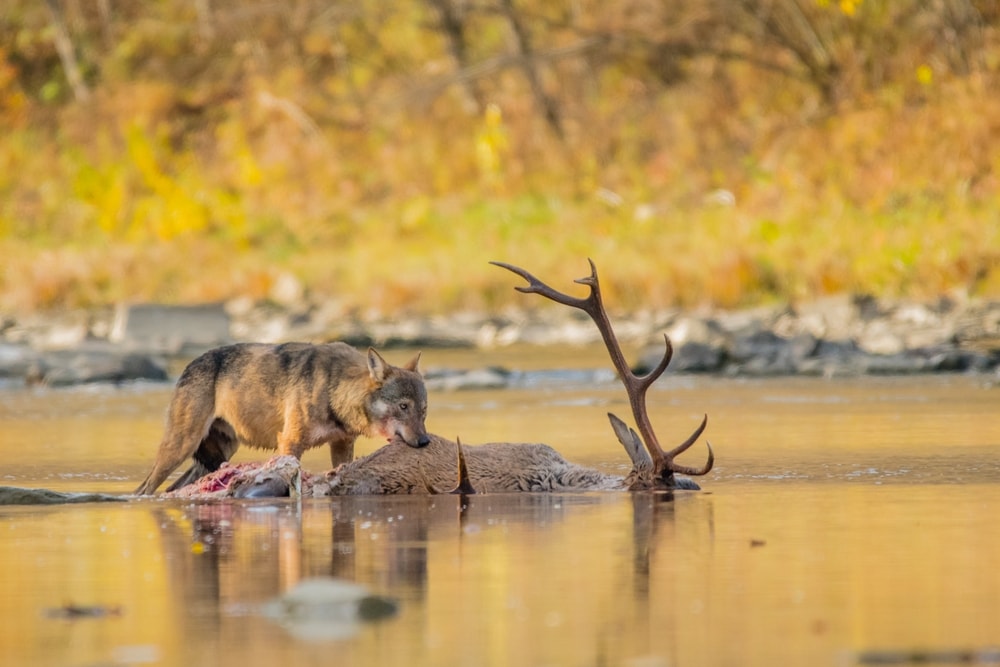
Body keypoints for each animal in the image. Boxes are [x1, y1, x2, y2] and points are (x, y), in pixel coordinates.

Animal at [133, 342, 429, 494]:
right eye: (403, 406)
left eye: (423, 410)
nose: (425, 441)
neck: (334, 390)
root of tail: (188, 365)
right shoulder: (289, 443)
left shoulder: (342, 444)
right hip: (180, 448)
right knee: (145, 488)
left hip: (217, 456)